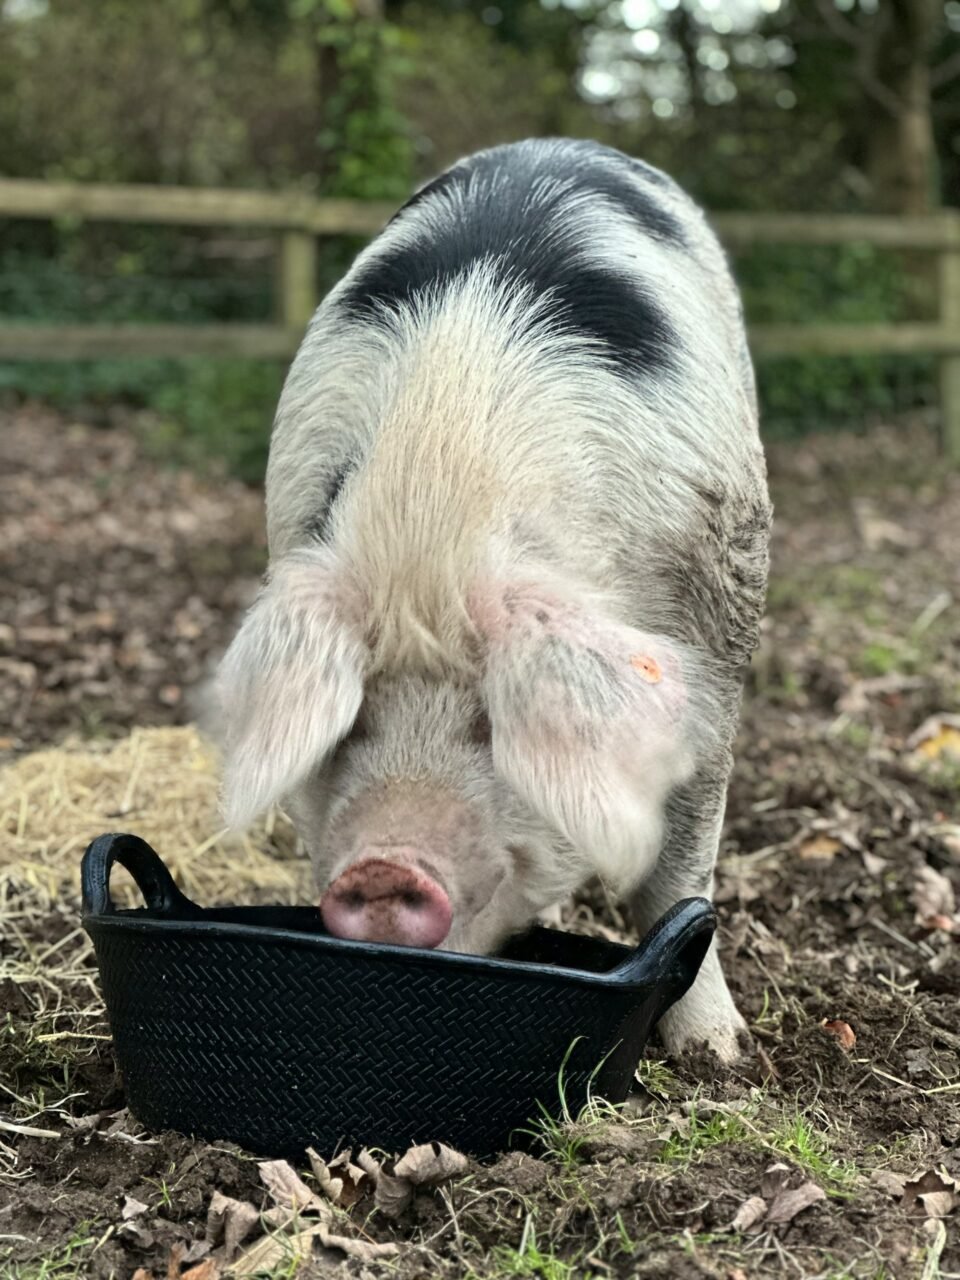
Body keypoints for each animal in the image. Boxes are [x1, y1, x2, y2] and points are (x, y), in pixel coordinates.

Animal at [215, 138, 771, 1062]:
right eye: (353, 718)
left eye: (493, 723)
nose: (384, 868)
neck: (433, 529)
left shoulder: (718, 636)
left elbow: (681, 872)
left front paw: (717, 1054)